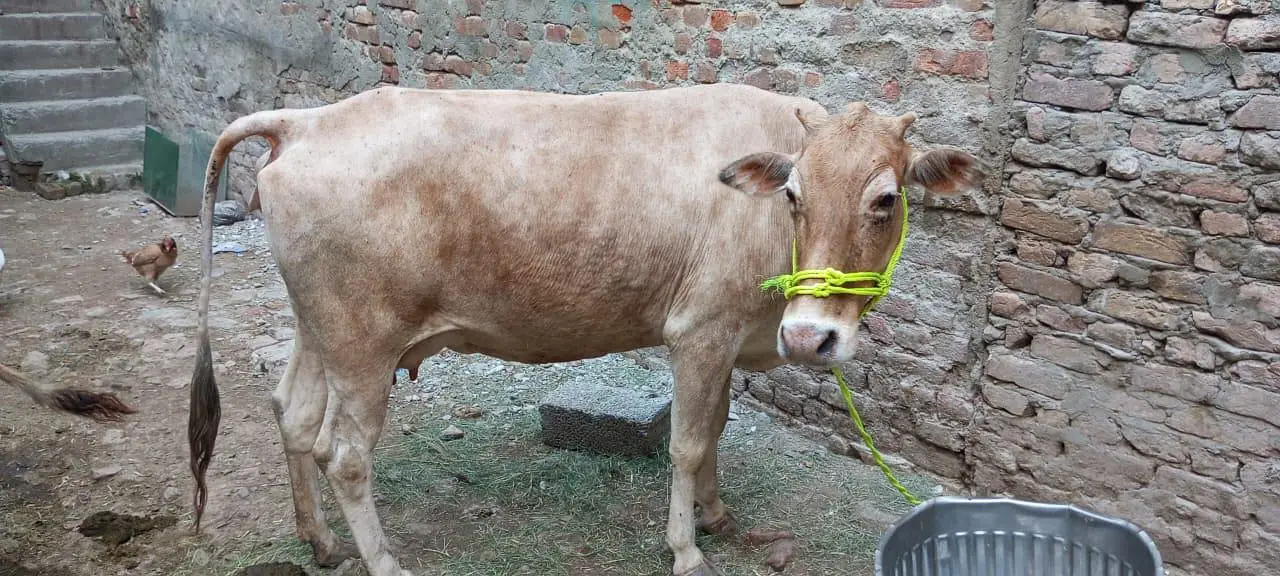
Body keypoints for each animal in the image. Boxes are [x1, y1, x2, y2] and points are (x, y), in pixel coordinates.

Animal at [186, 83, 981, 576]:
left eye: (886, 199)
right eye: (792, 193)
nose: (812, 337)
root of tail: (308, 120)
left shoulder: (727, 339)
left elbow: (717, 427)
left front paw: (717, 515)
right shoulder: (699, 329)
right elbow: (687, 443)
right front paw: (686, 549)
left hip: (316, 327)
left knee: (293, 414)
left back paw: (319, 540)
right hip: (361, 343)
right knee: (344, 455)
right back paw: (383, 561)